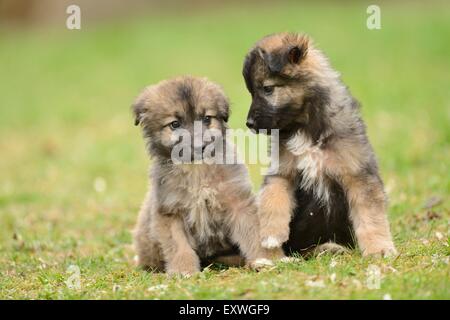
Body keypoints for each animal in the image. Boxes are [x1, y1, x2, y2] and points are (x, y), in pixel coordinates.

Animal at [131, 75, 278, 276]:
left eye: (207, 119)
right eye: (175, 124)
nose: (200, 146)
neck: (197, 169)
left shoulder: (239, 203)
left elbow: (253, 233)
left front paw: (263, 259)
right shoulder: (170, 212)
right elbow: (179, 247)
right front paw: (184, 271)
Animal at [243, 32, 398, 258]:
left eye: (267, 89)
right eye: (252, 92)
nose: (249, 124)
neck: (306, 126)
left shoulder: (358, 175)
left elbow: (371, 216)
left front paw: (379, 248)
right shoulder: (282, 171)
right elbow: (273, 197)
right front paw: (271, 233)